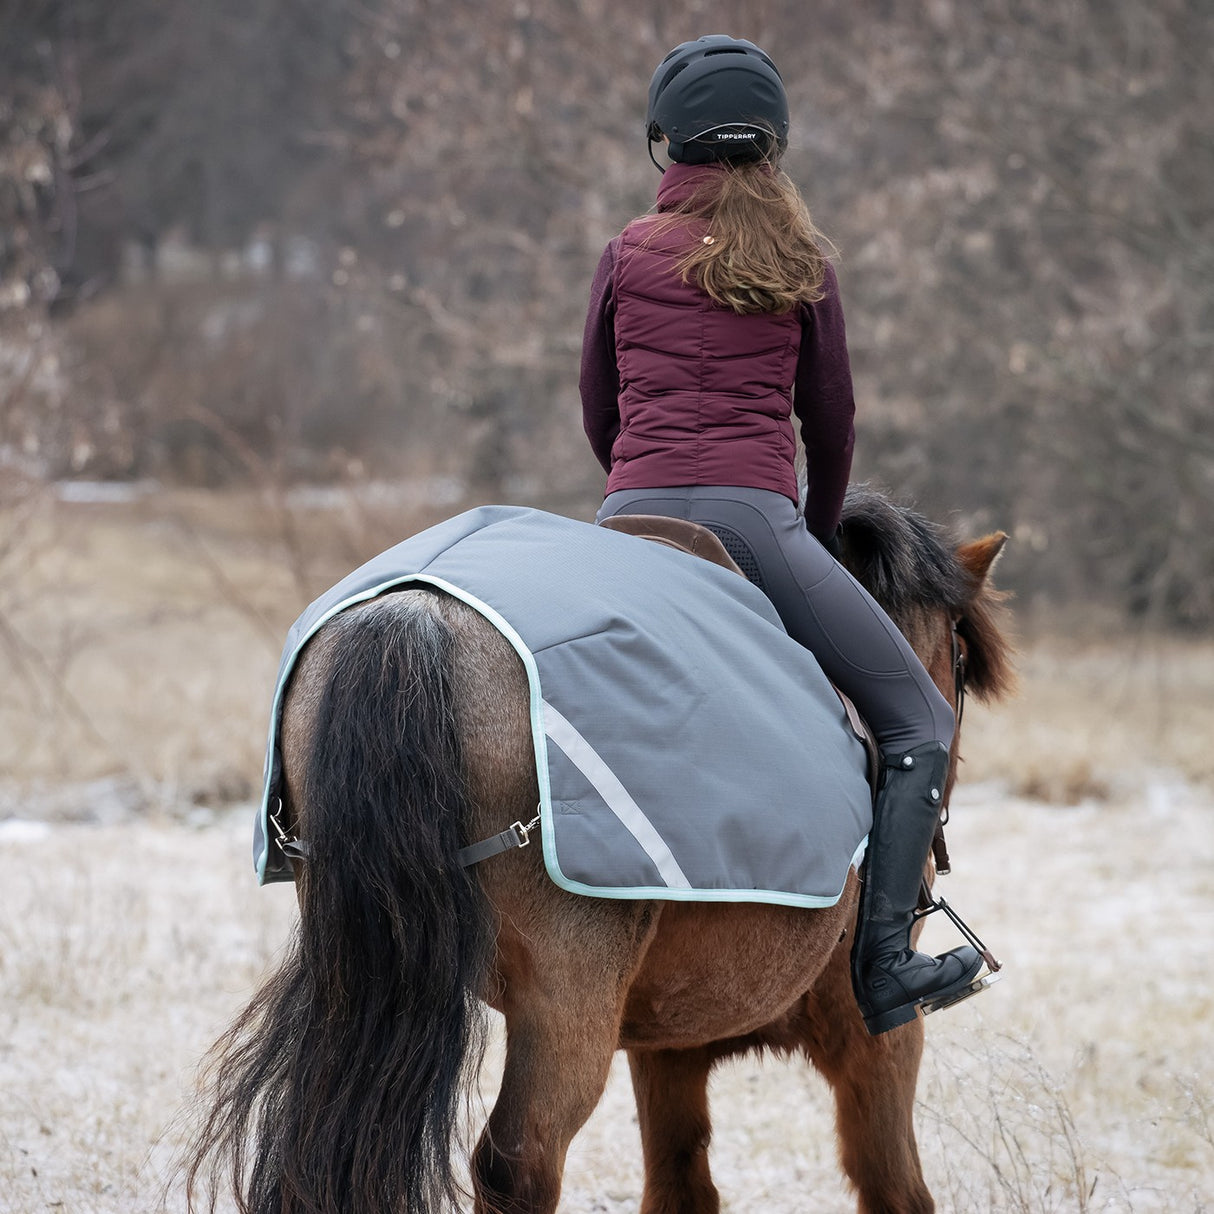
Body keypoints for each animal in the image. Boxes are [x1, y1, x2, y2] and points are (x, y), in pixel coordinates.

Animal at [184, 485, 1014, 1214]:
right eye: (958, 662)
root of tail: (418, 612)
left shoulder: (667, 1044)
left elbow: (680, 1189)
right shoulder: (875, 1035)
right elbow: (894, 1188)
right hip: (566, 999)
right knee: (517, 1164)